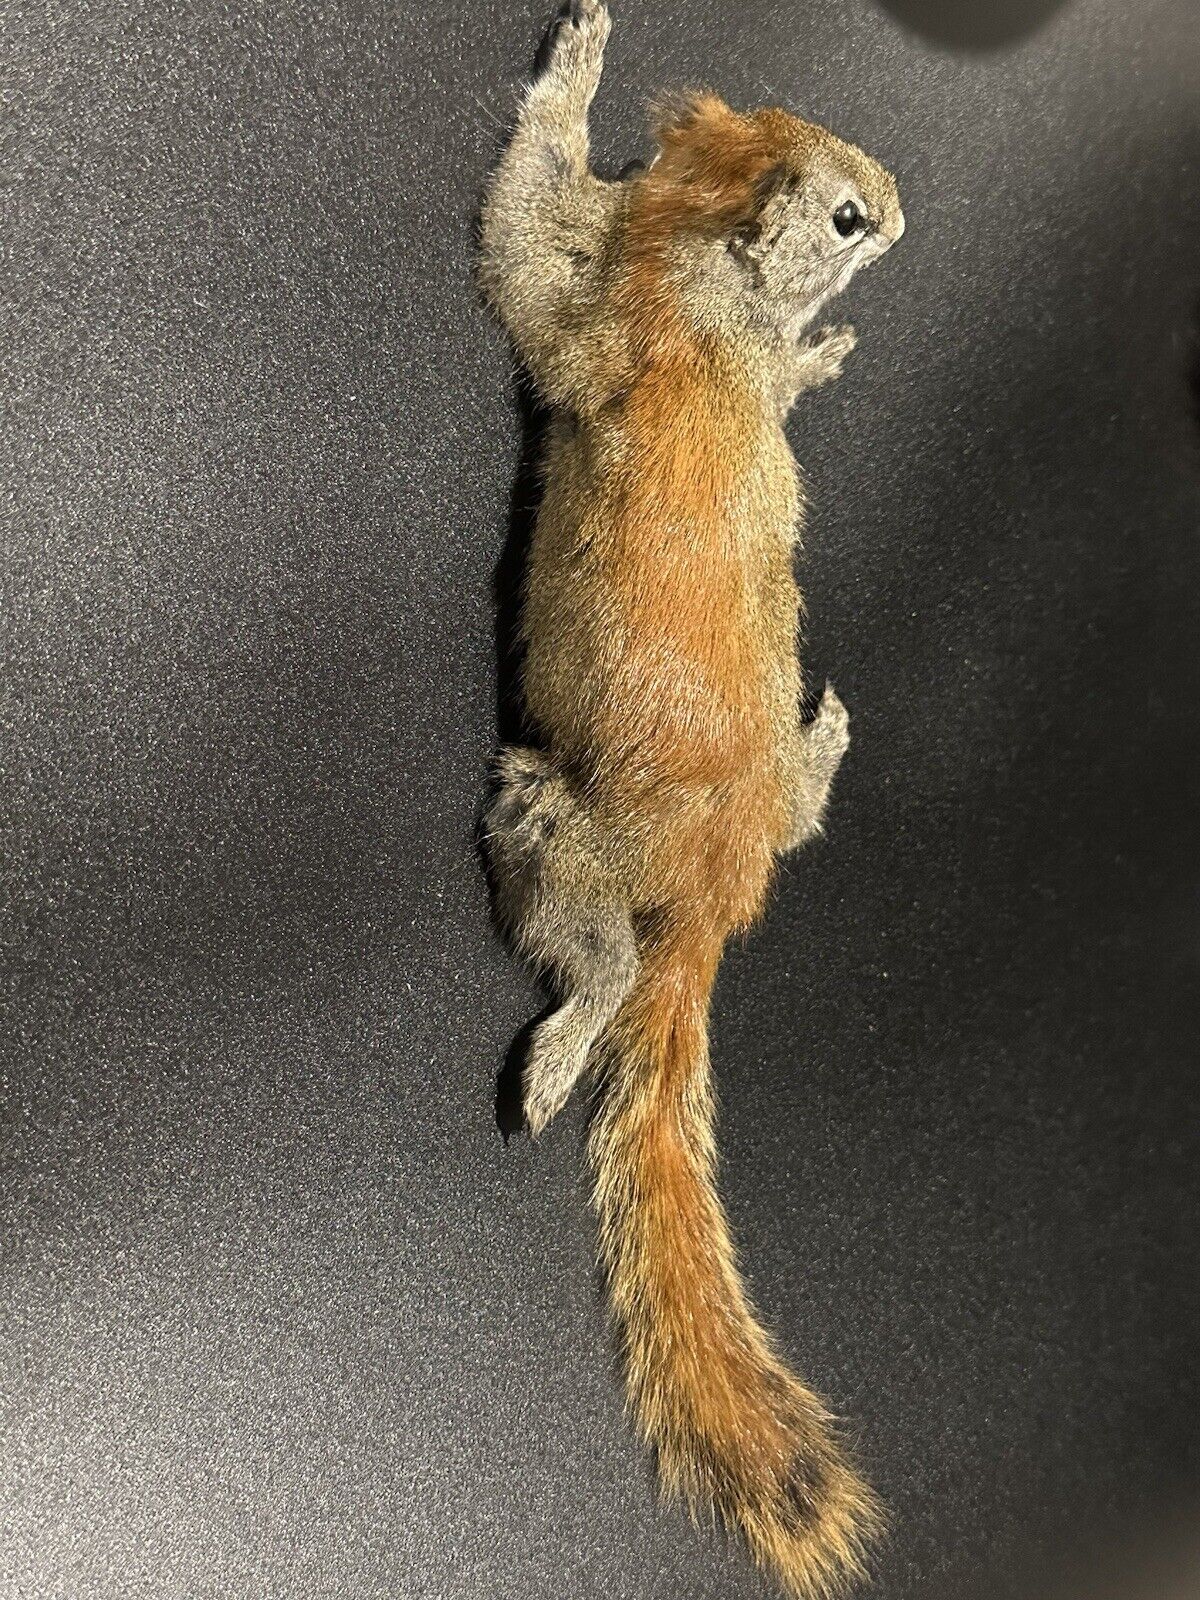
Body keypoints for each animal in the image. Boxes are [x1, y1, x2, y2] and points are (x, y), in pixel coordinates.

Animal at [479, 3, 904, 1595]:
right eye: (841, 212)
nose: (899, 209)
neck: (694, 265)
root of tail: (716, 893)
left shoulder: (589, 292)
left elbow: (524, 223)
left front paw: (580, 50)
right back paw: (823, 737)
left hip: (540, 815)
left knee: (594, 972)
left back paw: (553, 1061)